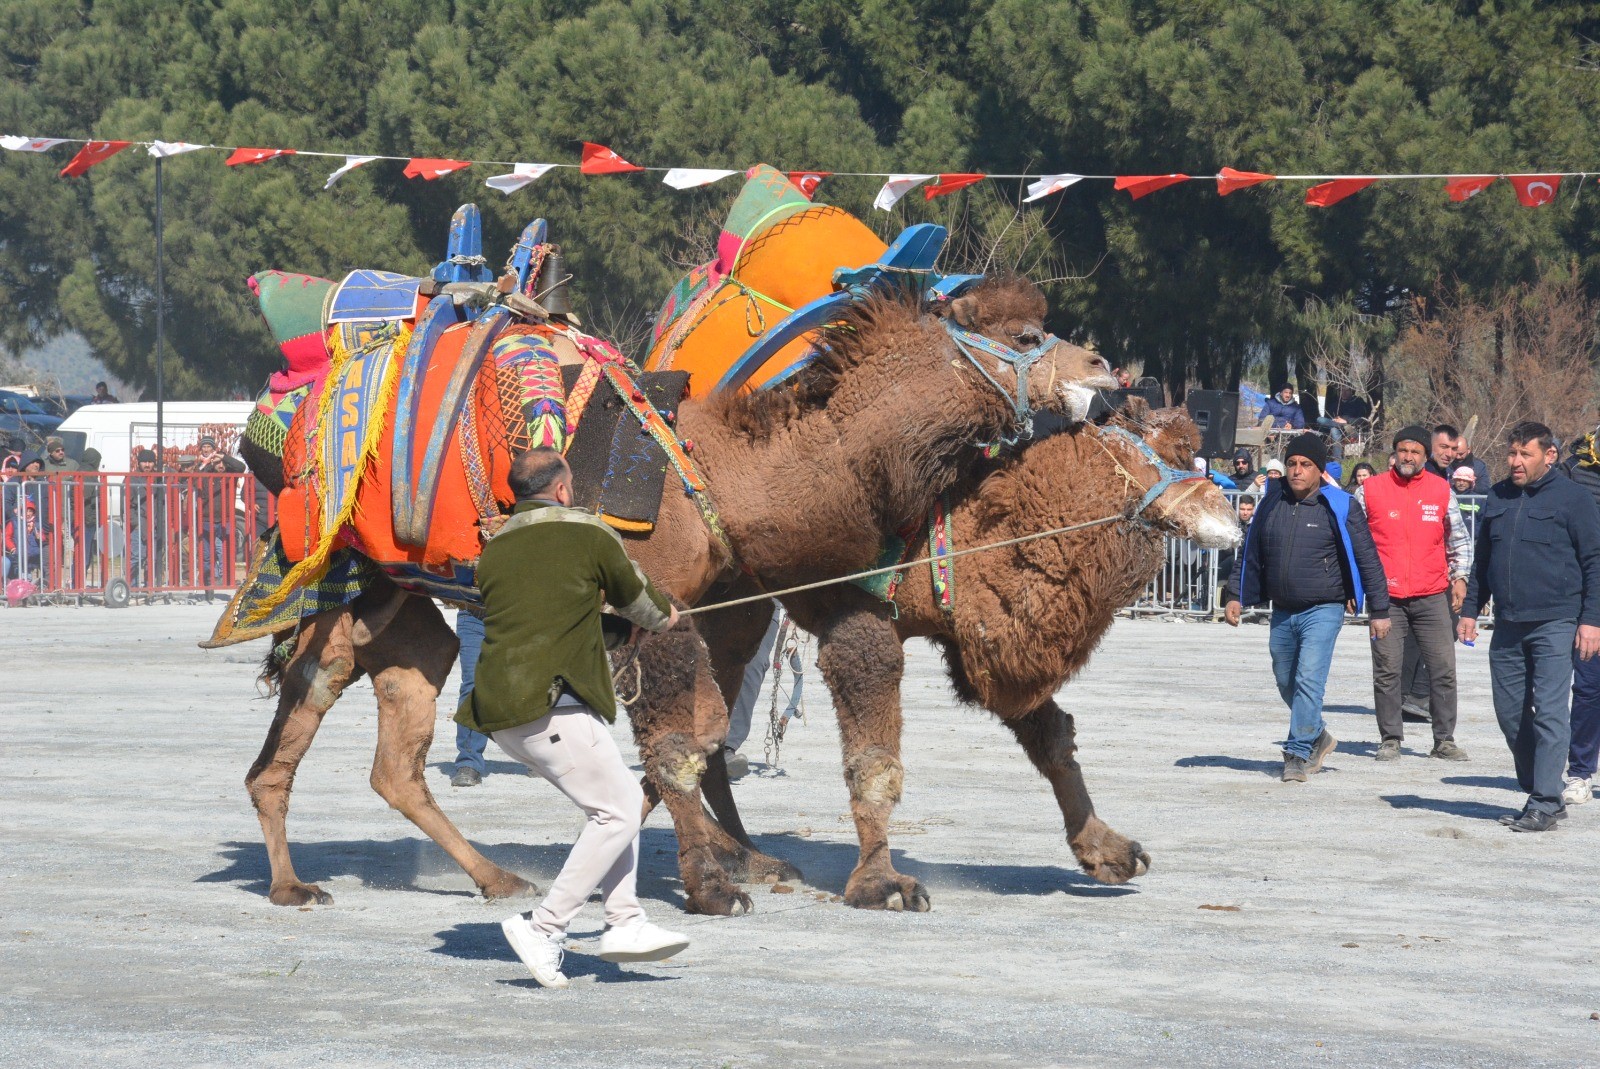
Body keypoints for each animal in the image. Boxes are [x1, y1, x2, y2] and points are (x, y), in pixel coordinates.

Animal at [233, 275, 1113, 921]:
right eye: (1026, 336)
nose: (1109, 375)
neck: (721, 470)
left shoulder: (715, 602)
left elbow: (706, 730)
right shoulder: (650, 613)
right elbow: (678, 744)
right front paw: (712, 886)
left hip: (392, 606)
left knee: (383, 747)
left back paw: (488, 877)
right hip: (330, 575)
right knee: (319, 706)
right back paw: (293, 884)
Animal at [697, 404, 1235, 908]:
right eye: (1182, 453)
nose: (1231, 522)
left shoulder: (979, 642)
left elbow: (1051, 736)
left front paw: (1109, 851)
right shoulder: (855, 613)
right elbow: (874, 758)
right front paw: (881, 884)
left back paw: (746, 856)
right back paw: (733, 858)